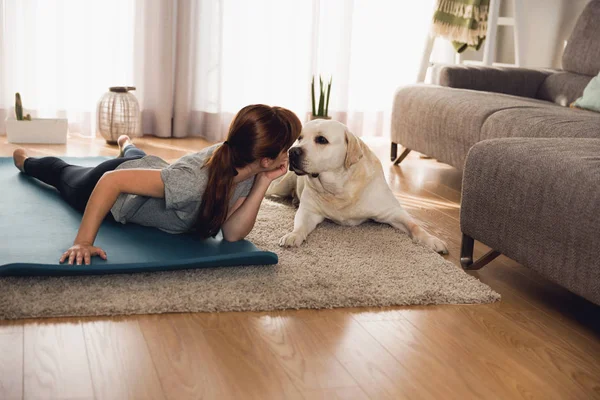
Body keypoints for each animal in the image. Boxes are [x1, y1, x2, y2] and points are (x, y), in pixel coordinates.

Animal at [264, 119, 448, 255]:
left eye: (321, 140)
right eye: (300, 138)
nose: (292, 151)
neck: (339, 188)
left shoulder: (393, 212)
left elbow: (415, 226)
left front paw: (432, 240)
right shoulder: (309, 211)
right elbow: (300, 225)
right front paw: (293, 235)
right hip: (280, 186)